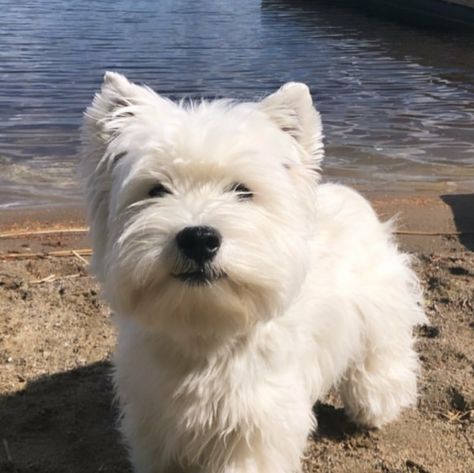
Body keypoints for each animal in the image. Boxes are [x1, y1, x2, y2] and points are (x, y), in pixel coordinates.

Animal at [80, 71, 426, 472]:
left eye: (242, 190)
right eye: (156, 189)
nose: (199, 239)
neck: (206, 328)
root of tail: (350, 194)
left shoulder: (255, 428)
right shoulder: (157, 423)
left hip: (379, 315)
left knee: (381, 358)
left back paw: (376, 407)